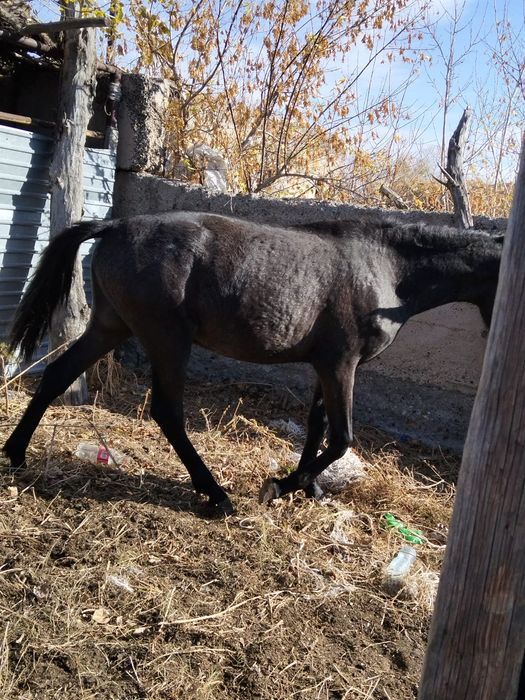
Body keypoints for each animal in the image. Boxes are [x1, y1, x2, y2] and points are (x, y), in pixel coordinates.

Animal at [3, 211, 503, 514]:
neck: (386, 269)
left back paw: (16, 453)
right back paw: (215, 494)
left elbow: (318, 427)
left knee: (57, 376)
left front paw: (309, 487)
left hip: (110, 327)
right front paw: (281, 485)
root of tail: (113, 226)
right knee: (167, 412)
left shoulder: (327, 366)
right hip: (168, 341)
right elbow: (341, 438)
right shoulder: (342, 365)